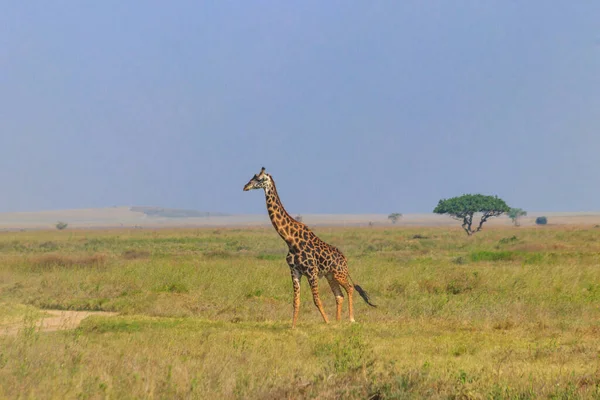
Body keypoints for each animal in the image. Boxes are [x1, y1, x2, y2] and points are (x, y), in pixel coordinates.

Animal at [243, 167, 376, 326]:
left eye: (259, 179)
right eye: (252, 177)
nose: (245, 187)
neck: (290, 240)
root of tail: (345, 259)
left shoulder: (312, 271)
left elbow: (316, 300)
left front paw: (327, 322)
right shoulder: (294, 271)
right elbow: (296, 301)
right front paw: (293, 327)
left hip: (339, 273)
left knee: (349, 288)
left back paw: (351, 319)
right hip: (330, 275)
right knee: (339, 295)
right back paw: (338, 321)